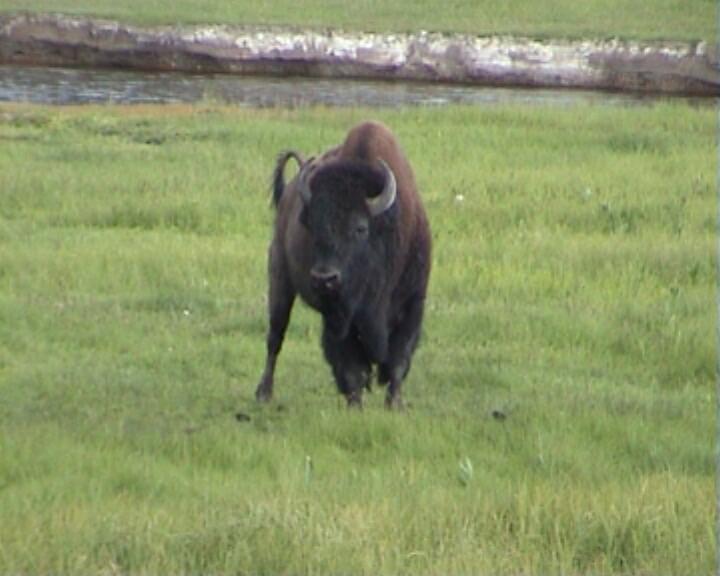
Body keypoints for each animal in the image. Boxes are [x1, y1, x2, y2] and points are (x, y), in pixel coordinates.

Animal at [255, 121, 431, 408]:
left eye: (360, 228)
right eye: (312, 224)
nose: (324, 278)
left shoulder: (413, 303)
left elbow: (398, 359)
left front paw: (394, 404)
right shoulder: (338, 317)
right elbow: (350, 367)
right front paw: (355, 405)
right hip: (280, 282)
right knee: (275, 337)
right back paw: (263, 393)